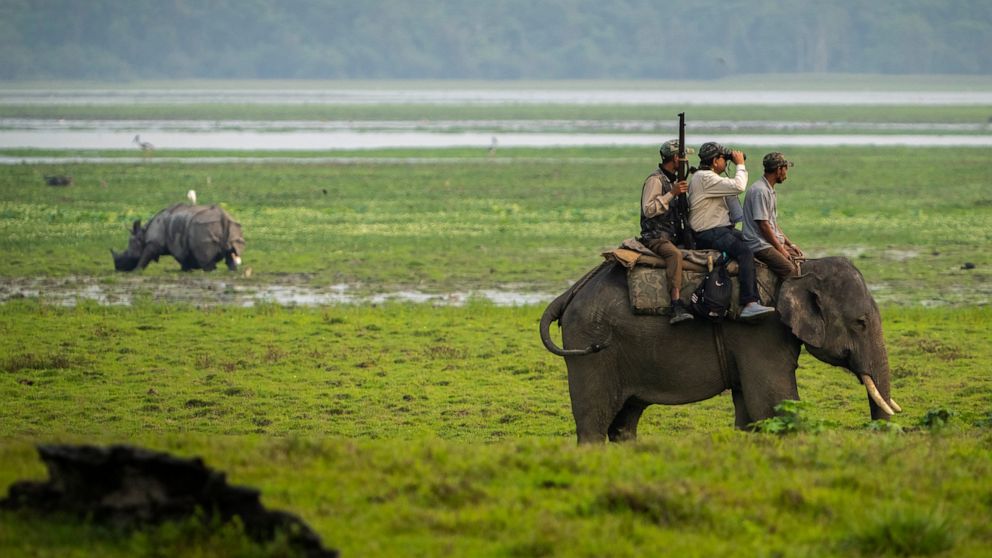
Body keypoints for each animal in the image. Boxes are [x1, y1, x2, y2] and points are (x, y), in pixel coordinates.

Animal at [111, 205, 244, 272]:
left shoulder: (155, 243)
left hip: (203, 228)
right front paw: (187, 270)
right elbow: (185, 257)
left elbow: (145, 256)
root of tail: (223, 217)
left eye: (126, 254)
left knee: (206, 260)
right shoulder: (180, 244)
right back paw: (232, 271)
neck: (143, 234)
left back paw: (211, 270)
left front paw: (136, 271)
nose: (117, 268)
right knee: (231, 253)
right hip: (233, 226)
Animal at [540, 258, 904, 446]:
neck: (799, 269)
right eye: (860, 323)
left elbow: (750, 412)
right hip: (592, 346)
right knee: (594, 422)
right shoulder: (760, 330)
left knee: (625, 423)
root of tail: (571, 292)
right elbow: (774, 403)